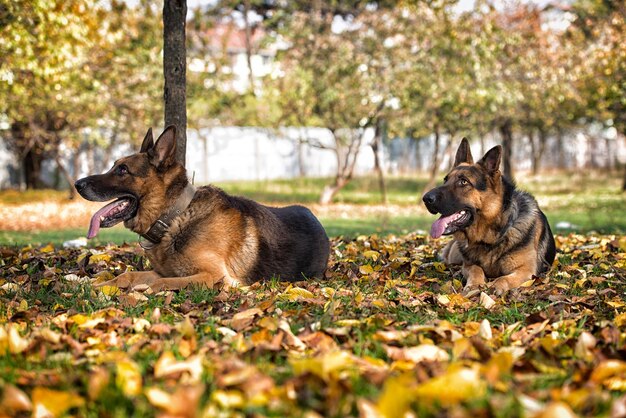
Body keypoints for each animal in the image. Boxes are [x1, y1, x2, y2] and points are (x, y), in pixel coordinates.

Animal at [74, 126, 332, 290]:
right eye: (115, 166)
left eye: (123, 170)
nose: (77, 184)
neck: (175, 218)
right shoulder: (163, 270)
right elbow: (127, 275)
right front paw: (100, 285)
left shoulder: (213, 276)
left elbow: (160, 283)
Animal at [422, 139, 552, 292]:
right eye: (445, 180)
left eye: (463, 181)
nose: (426, 199)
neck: (492, 236)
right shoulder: (469, 265)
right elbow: (476, 269)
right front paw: (474, 284)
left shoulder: (526, 271)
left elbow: (504, 278)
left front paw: (496, 285)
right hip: (455, 255)